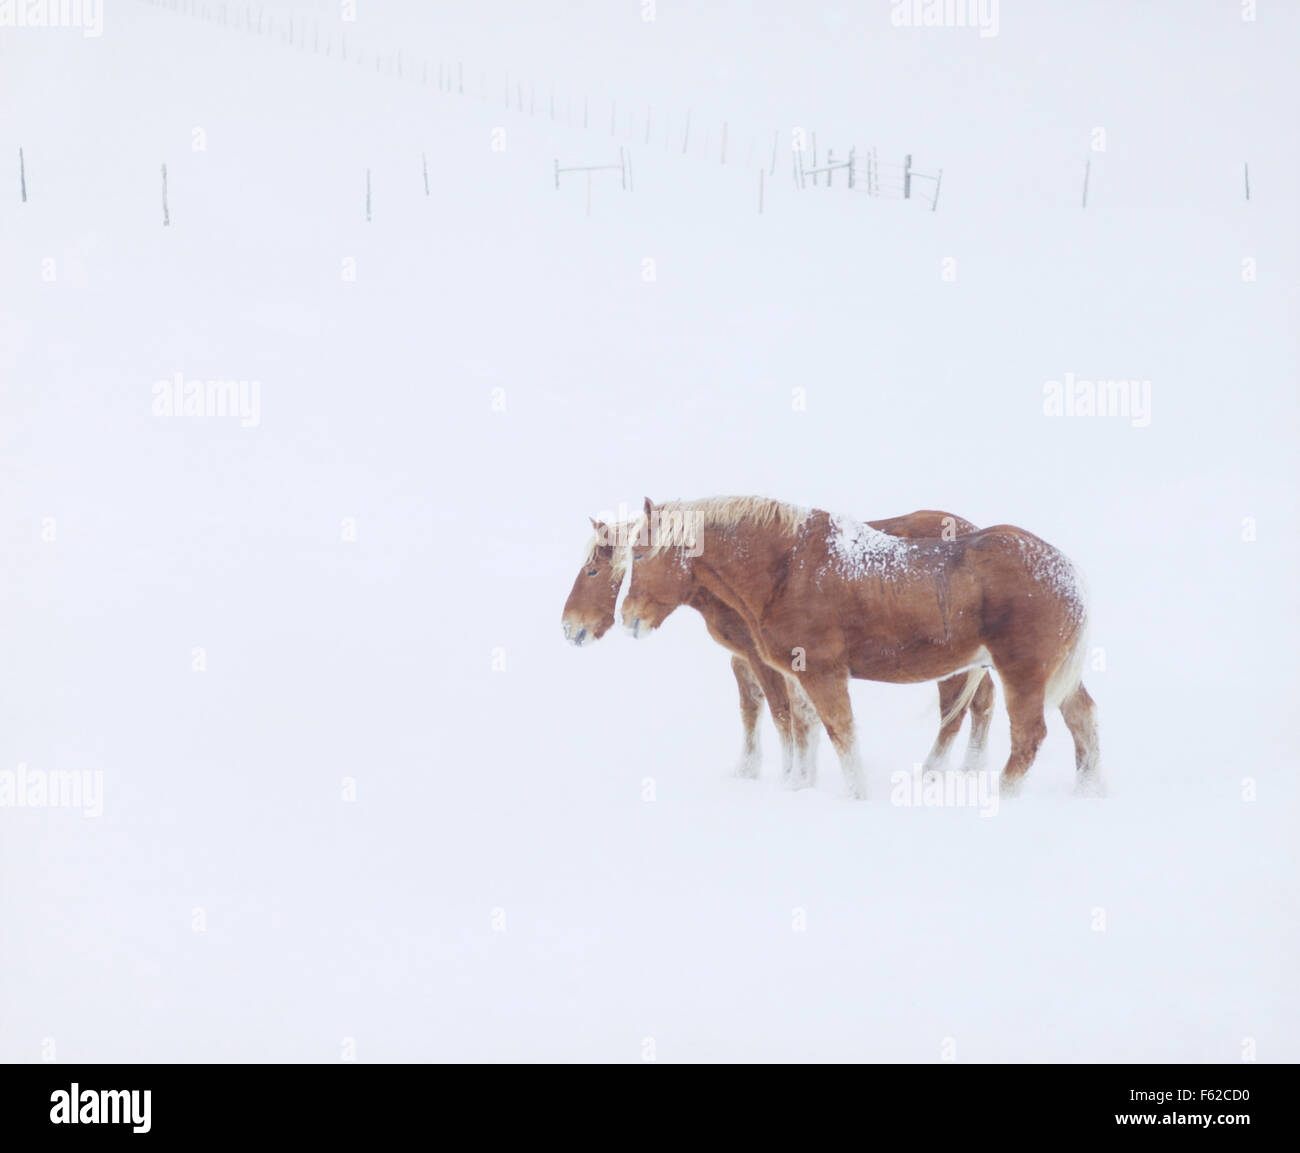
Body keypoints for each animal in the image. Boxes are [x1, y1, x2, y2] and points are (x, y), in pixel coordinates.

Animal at [562, 510, 996, 785]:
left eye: (593, 571)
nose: (569, 628)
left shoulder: (765, 660)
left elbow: (783, 715)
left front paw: (791, 774)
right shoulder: (744, 660)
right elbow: (756, 711)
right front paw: (753, 771)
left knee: (954, 712)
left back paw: (934, 774)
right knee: (982, 704)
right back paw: (970, 770)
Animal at [620, 497, 1099, 800]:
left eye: (640, 554)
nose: (627, 619)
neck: (786, 569)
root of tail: (1065, 568)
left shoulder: (821, 673)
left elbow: (839, 733)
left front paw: (856, 795)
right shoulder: (795, 675)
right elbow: (804, 730)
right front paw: (798, 787)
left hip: (1023, 673)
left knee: (1026, 736)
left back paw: (1002, 796)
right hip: (1044, 675)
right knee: (1082, 717)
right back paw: (1089, 789)